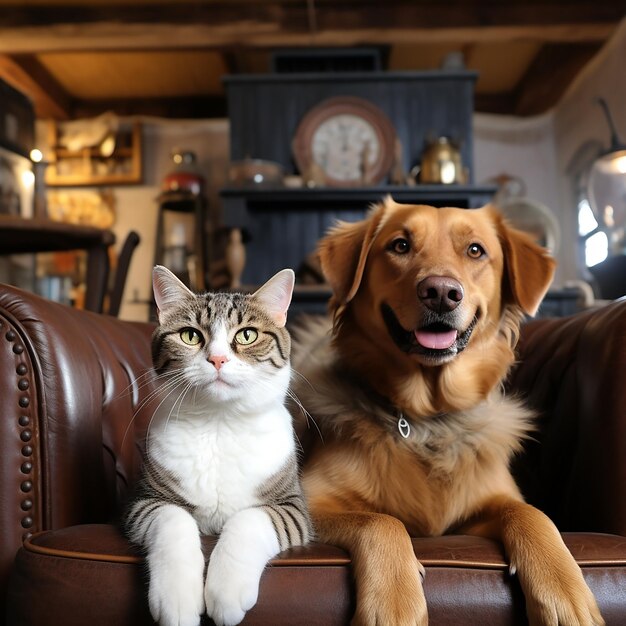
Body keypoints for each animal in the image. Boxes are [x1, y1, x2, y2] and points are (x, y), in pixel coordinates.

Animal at [122, 264, 312, 624]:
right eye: (190, 335)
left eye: (247, 335)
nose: (218, 359)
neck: (219, 423)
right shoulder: (145, 502)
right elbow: (173, 521)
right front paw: (178, 599)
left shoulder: (293, 508)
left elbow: (248, 520)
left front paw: (225, 593)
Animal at [290, 199, 604, 624]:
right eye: (400, 245)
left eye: (475, 250)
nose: (440, 292)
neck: (426, 417)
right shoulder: (310, 502)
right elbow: (381, 520)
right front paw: (394, 603)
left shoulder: (488, 503)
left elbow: (532, 514)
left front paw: (565, 591)